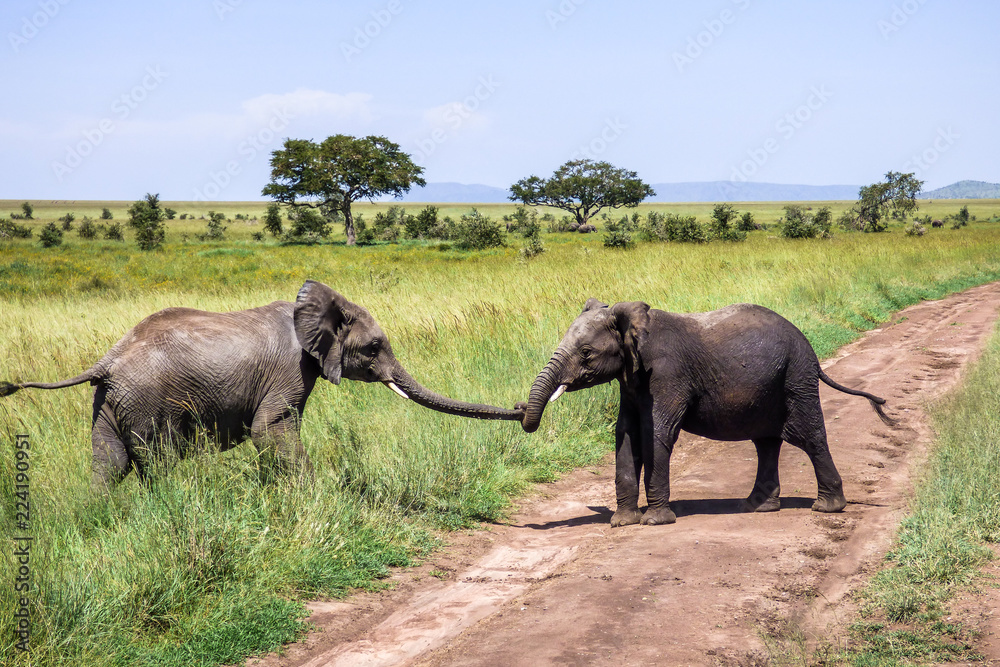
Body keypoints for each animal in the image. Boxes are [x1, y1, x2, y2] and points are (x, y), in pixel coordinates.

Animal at [1, 280, 523, 488]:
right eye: (374, 348)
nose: (521, 409)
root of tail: (105, 361)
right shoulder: (291, 370)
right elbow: (271, 430)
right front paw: (320, 495)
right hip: (147, 401)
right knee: (158, 463)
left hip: (109, 405)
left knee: (107, 467)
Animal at [519, 299, 894, 527]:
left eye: (586, 353)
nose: (520, 409)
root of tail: (813, 354)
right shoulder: (631, 379)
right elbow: (625, 436)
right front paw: (622, 522)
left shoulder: (665, 374)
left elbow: (656, 435)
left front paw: (654, 521)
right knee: (767, 443)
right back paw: (757, 507)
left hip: (795, 378)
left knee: (809, 437)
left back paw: (827, 508)